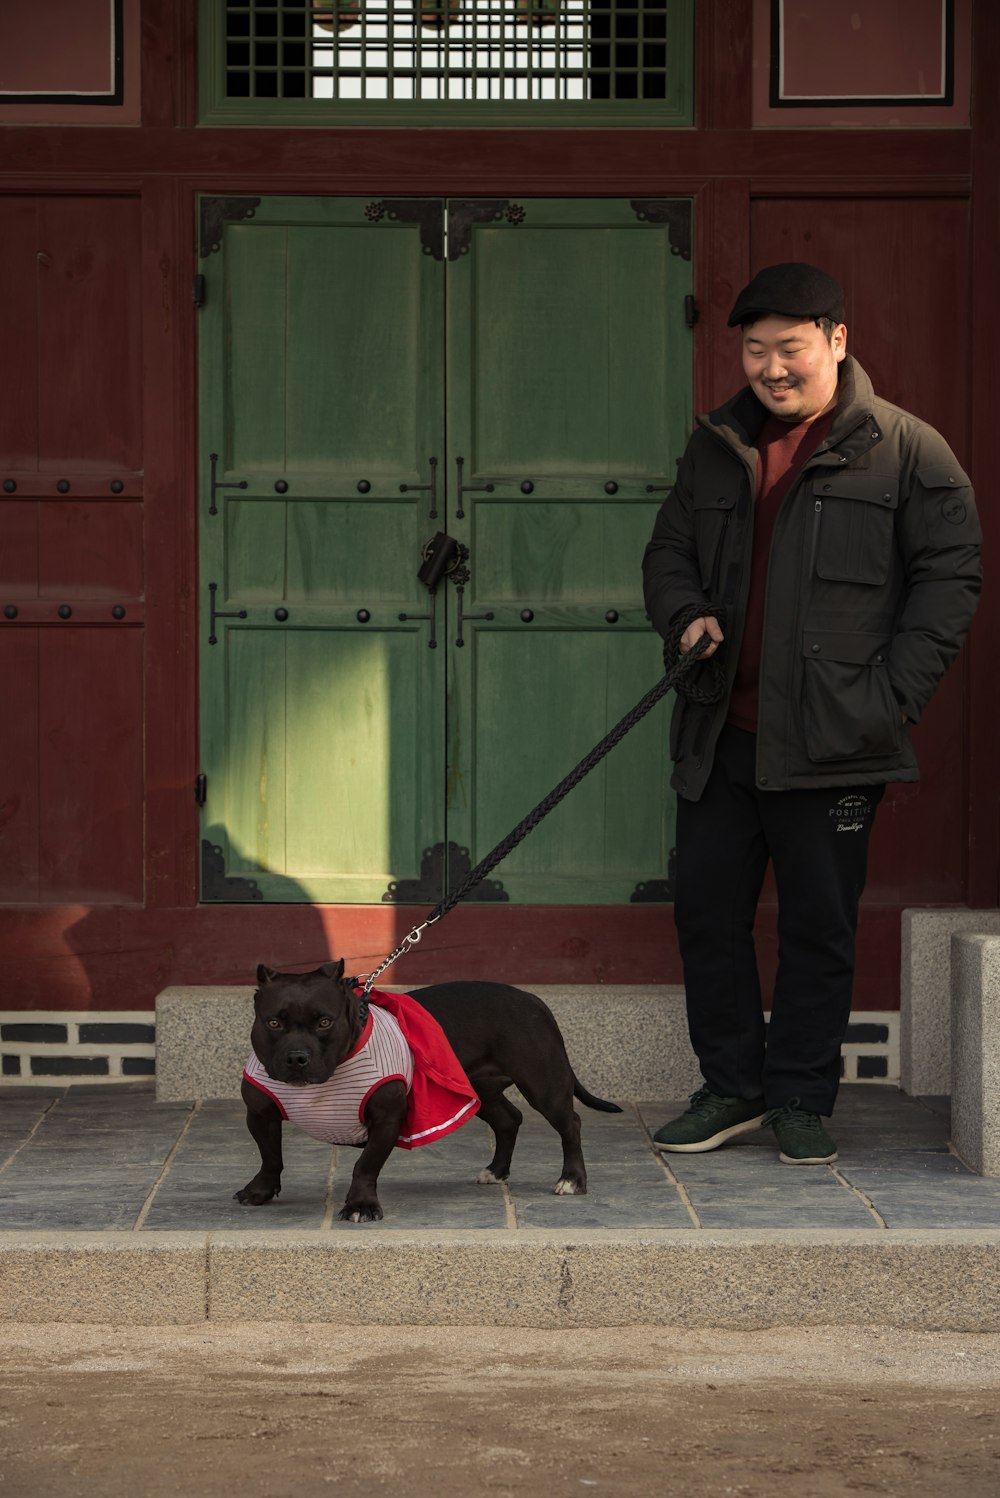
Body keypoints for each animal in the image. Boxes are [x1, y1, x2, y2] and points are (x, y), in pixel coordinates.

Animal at [238, 964, 619, 1222]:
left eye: (324, 1022)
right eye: (273, 1023)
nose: (296, 1058)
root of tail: (533, 1000)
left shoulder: (386, 1118)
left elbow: (365, 1164)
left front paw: (361, 1205)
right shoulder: (259, 1114)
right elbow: (270, 1157)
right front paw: (260, 1190)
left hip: (543, 1085)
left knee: (570, 1124)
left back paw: (572, 1180)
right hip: (477, 1090)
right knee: (509, 1120)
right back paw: (496, 1171)